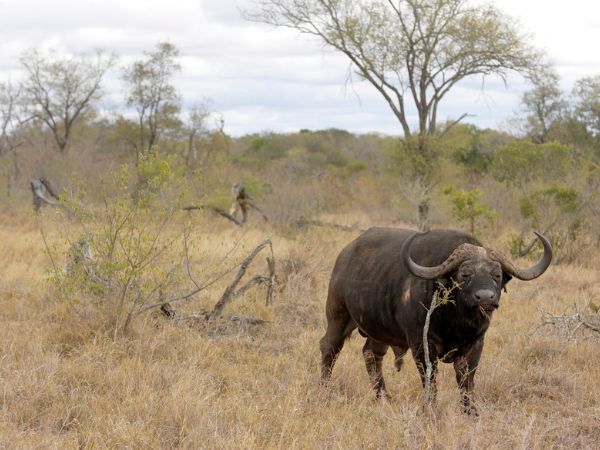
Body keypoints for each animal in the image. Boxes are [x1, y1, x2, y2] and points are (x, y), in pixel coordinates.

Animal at [322, 229, 552, 414]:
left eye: (497, 274)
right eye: (465, 274)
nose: (485, 297)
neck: (456, 322)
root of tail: (345, 255)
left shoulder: (475, 344)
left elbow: (466, 382)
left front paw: (471, 412)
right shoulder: (421, 344)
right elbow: (430, 380)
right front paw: (430, 410)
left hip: (379, 330)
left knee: (371, 354)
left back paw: (384, 398)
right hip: (338, 315)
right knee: (329, 347)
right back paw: (324, 389)